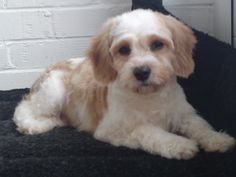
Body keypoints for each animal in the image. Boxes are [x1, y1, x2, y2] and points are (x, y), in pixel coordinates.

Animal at [13, 9, 235, 160]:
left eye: (157, 44)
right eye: (124, 49)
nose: (142, 72)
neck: (149, 97)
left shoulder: (183, 114)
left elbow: (200, 125)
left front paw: (217, 139)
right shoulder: (113, 129)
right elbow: (147, 130)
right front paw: (178, 143)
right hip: (52, 93)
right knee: (23, 110)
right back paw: (34, 125)